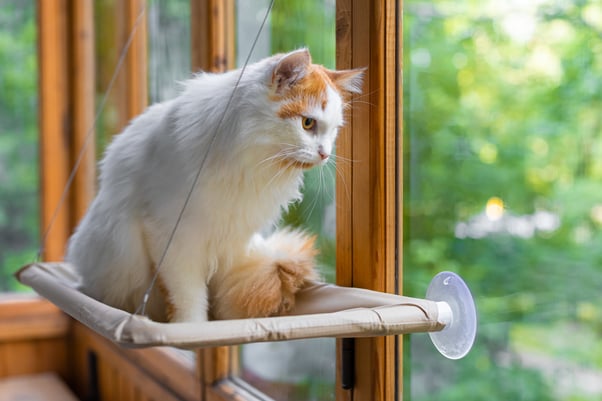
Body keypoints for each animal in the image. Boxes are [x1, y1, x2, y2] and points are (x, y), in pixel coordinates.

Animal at [67, 48, 364, 322]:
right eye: (308, 123)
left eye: (334, 131)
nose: (325, 154)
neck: (250, 166)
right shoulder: (172, 237)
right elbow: (188, 295)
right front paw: (192, 327)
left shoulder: (234, 237)